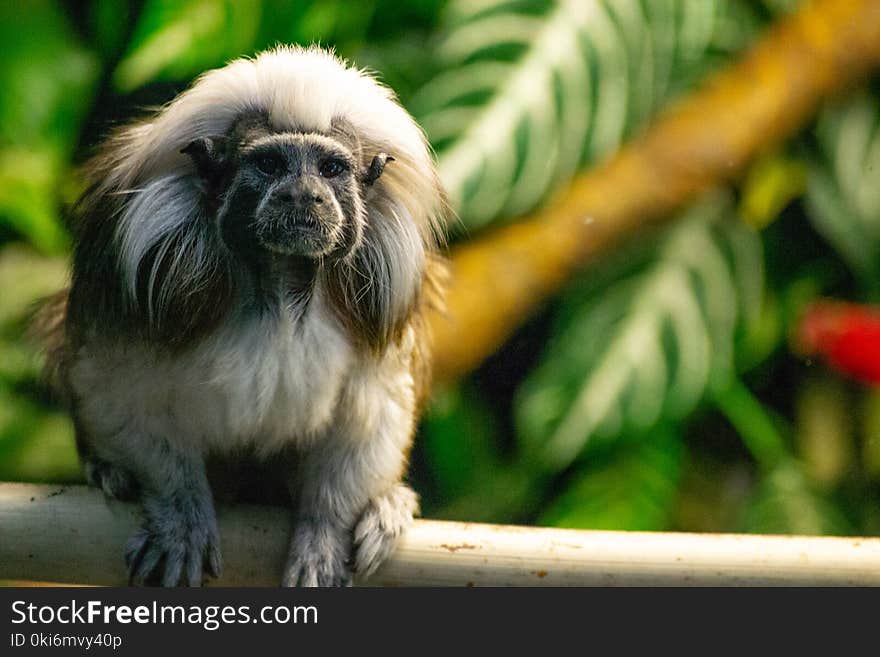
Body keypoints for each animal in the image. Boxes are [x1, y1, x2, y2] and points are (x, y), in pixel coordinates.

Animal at [34, 46, 446, 588]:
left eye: (331, 168)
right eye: (270, 165)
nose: (303, 195)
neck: (280, 282)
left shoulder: (380, 294)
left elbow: (370, 407)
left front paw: (325, 533)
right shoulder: (141, 268)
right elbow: (122, 390)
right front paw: (179, 511)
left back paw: (386, 505)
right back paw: (110, 472)